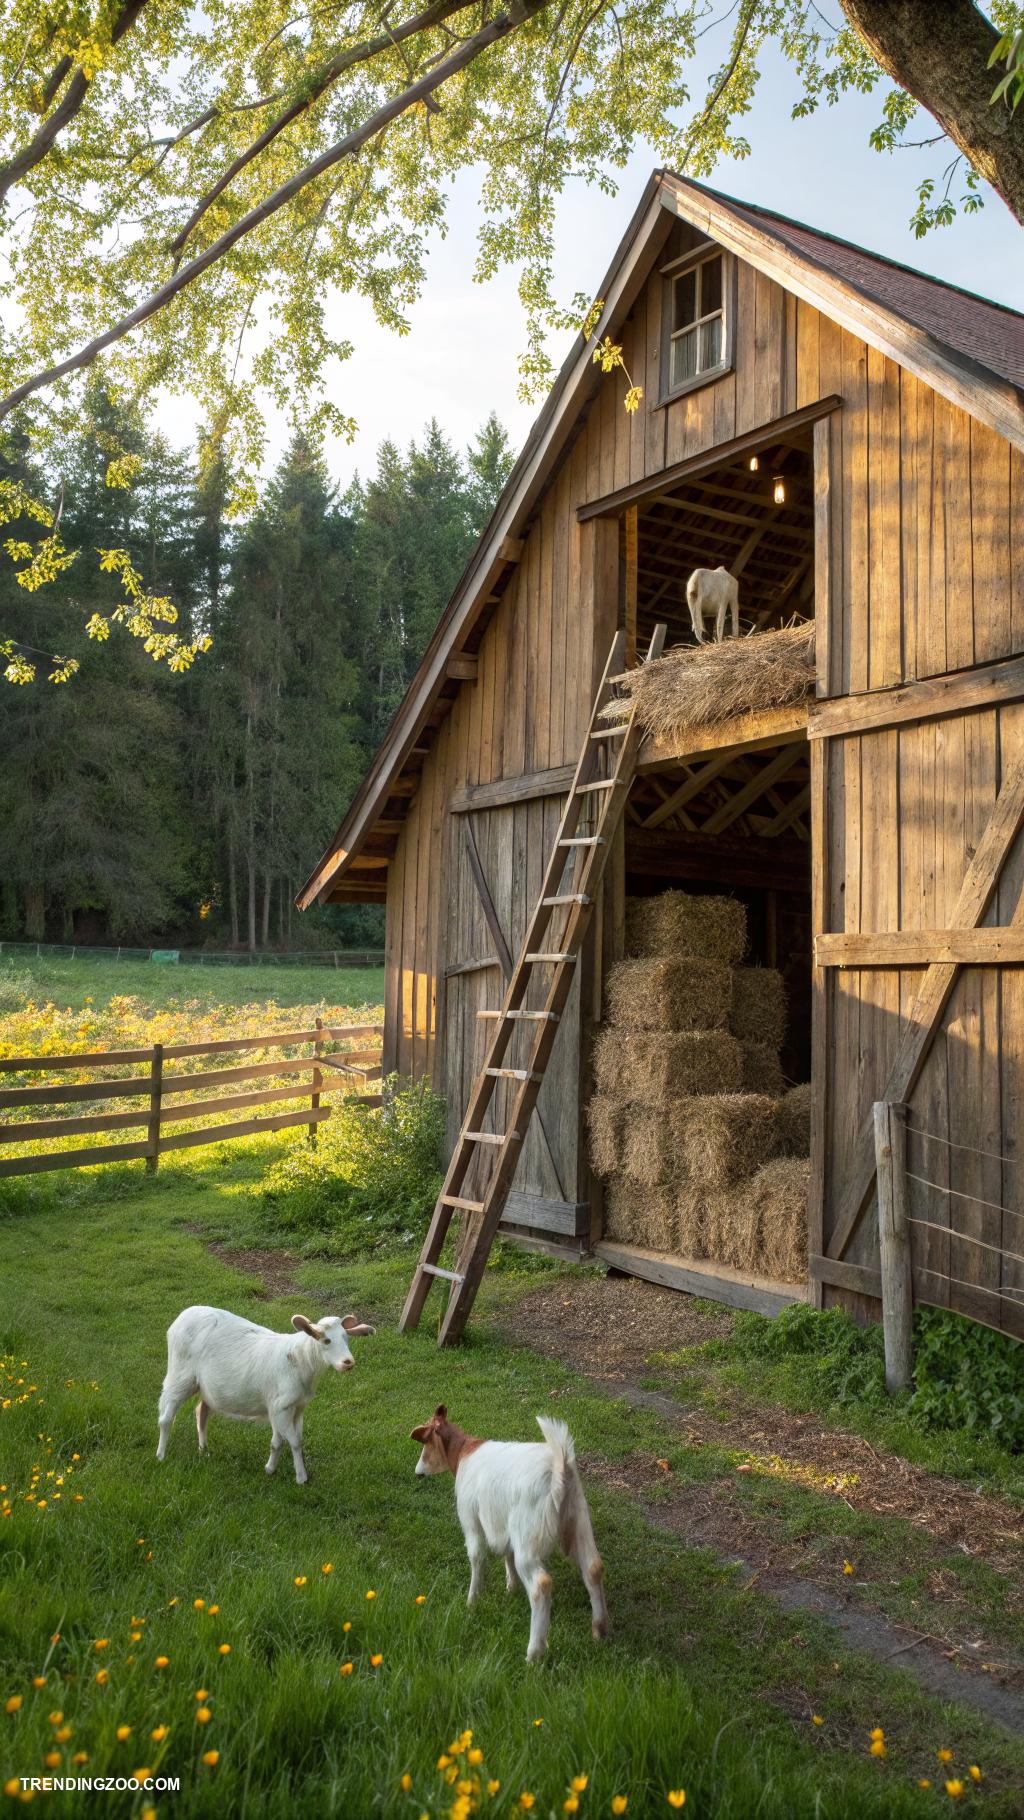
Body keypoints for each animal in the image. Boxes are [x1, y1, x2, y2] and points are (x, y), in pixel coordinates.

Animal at [157, 1305, 375, 1484]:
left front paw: (270, 1469)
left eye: (346, 1338)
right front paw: (301, 1477)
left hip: (206, 1387)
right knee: (166, 1418)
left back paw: (204, 1450)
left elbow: (278, 1441)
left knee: (201, 1413)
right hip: (180, 1375)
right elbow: (295, 1442)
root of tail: (182, 1316)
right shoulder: (282, 1406)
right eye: (326, 1340)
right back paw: (160, 1455)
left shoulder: (292, 1407)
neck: (301, 1360)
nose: (348, 1362)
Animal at [410, 1403, 607, 1662]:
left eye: (426, 1443)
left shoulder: (471, 1520)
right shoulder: (502, 1525)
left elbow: (477, 1557)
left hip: (528, 1537)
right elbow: (507, 1554)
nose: (418, 1472)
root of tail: (559, 1469)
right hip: (579, 1523)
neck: (464, 1451)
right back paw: (600, 1631)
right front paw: (511, 1588)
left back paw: (534, 1653)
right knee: (593, 1568)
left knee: (541, 1585)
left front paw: (472, 1602)